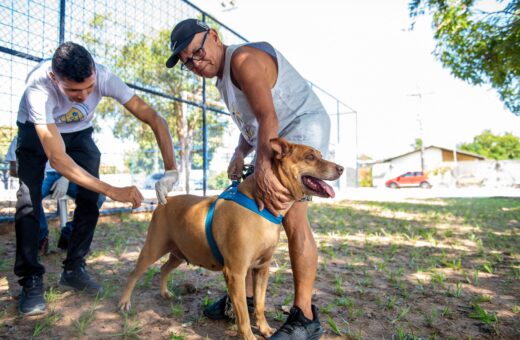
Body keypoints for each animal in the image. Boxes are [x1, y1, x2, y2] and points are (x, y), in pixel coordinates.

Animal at [119, 138, 344, 340]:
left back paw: (165, 292)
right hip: (153, 249)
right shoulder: (236, 272)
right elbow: (243, 313)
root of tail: (165, 200)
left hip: (179, 253)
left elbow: (259, 305)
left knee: (164, 269)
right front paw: (249, 336)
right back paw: (124, 302)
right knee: (133, 274)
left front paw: (265, 329)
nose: (341, 168)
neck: (260, 207)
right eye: (310, 157)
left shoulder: (261, 269)